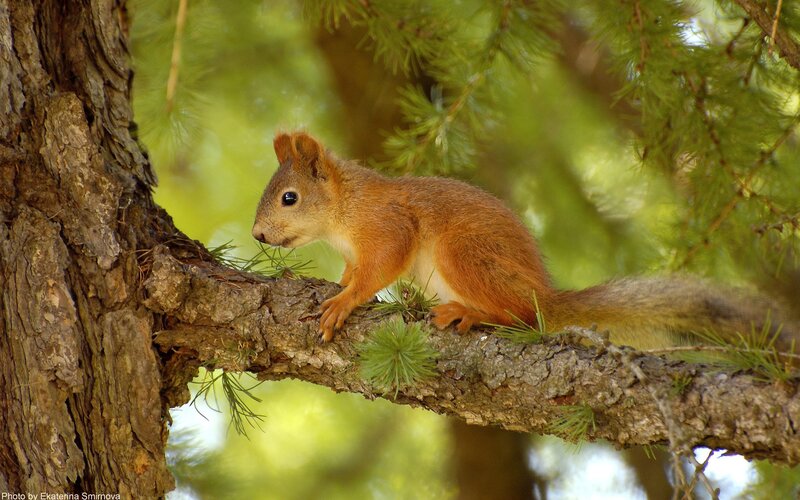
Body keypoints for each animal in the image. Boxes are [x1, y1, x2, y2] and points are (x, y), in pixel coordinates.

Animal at [252, 131, 799, 350]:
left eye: (289, 198)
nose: (257, 234)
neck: (344, 211)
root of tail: (544, 295)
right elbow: (354, 270)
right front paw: (338, 286)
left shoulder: (388, 226)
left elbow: (378, 270)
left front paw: (343, 301)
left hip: (464, 255)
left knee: (519, 316)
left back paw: (470, 313)